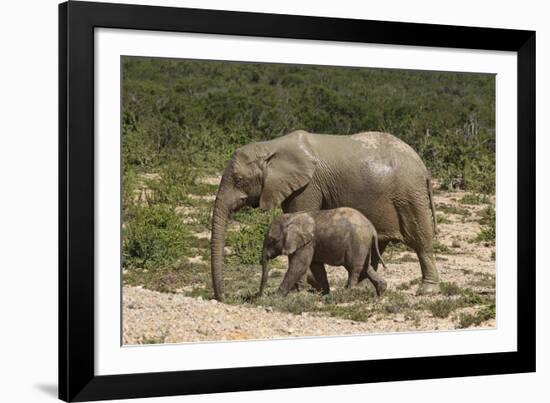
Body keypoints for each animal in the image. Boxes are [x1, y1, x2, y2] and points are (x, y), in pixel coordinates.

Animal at [210, 129, 440, 300]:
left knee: (420, 239)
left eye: (239, 180)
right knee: (379, 245)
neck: (271, 146)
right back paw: (364, 289)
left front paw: (302, 290)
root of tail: (423, 167)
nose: (224, 298)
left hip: (410, 195)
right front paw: (314, 288)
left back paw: (426, 290)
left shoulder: (308, 185)